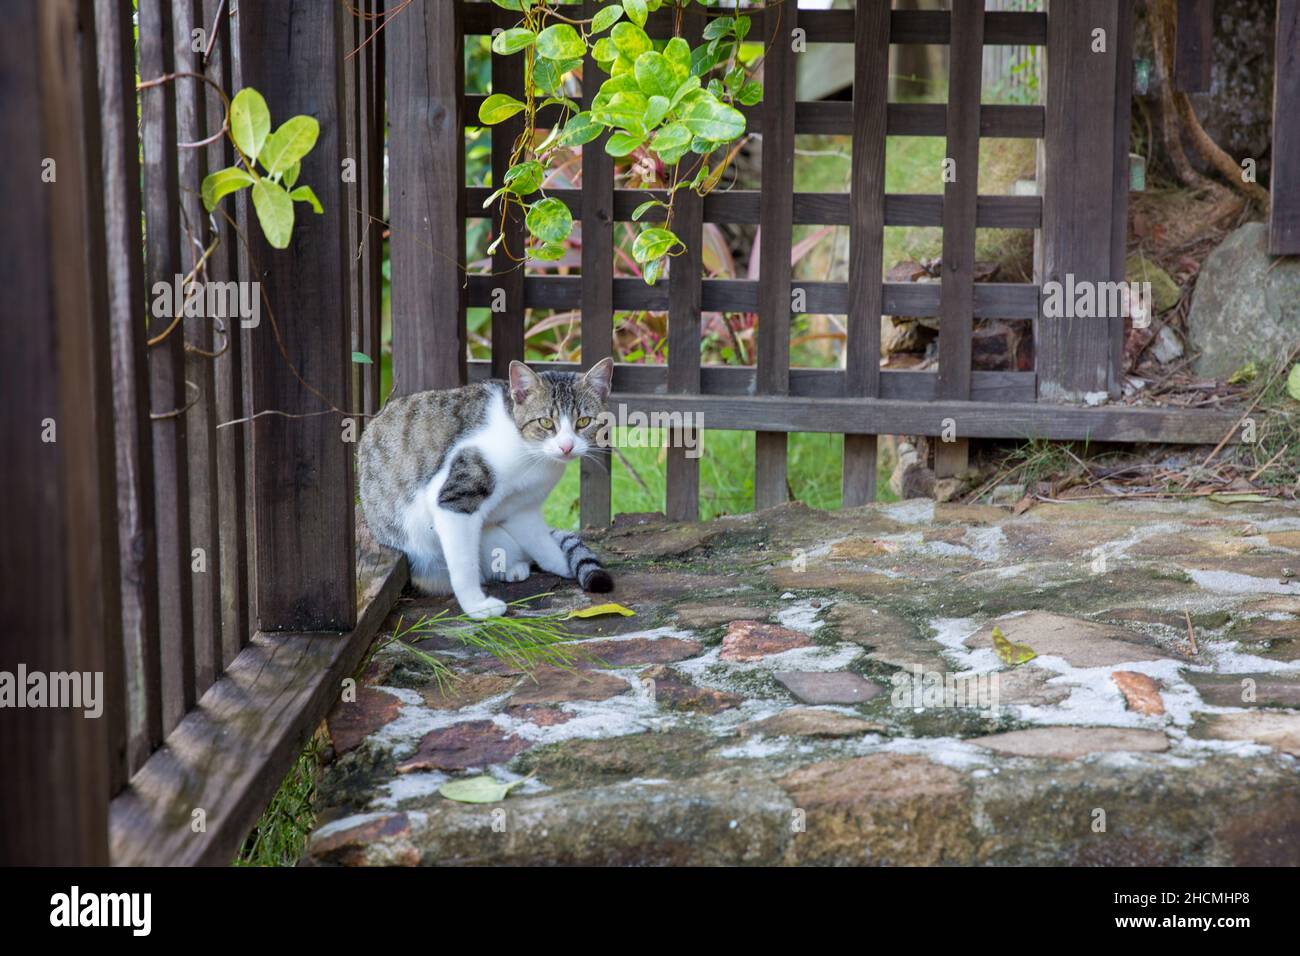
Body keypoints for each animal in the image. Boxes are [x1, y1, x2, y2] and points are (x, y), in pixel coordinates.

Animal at [358, 358, 616, 621]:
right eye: (545, 422)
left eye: (583, 421)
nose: (566, 447)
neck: (529, 453)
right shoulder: (454, 500)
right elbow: (464, 563)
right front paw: (476, 606)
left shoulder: (522, 509)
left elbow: (541, 542)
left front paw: (563, 564)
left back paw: (513, 568)